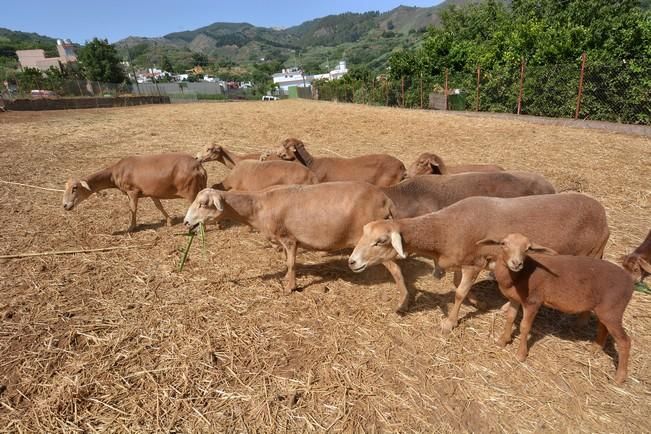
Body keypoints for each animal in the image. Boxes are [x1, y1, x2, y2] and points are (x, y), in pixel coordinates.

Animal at [181, 182, 400, 298]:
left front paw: (290, 288)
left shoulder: (289, 238)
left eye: (203, 204)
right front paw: (288, 281)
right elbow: (288, 262)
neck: (258, 207)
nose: (186, 222)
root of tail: (387, 201)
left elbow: (291, 263)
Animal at [352, 192, 612, 330]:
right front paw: (479, 302)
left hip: (591, 254)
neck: (444, 229)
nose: (352, 262)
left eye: (381, 241)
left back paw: (580, 322)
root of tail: (602, 214)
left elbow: (459, 292)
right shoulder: (464, 261)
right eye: (363, 233)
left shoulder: (474, 263)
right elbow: (458, 286)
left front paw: (450, 322)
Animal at [478, 234, 632, 384]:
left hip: (613, 310)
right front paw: (502, 341)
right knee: (603, 327)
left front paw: (520, 355)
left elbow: (524, 326)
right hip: (606, 310)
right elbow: (510, 318)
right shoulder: (515, 299)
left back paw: (619, 378)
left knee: (625, 342)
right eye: (503, 243)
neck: (519, 276)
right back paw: (595, 348)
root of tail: (629, 282)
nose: (517, 263)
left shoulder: (533, 302)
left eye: (527, 249)